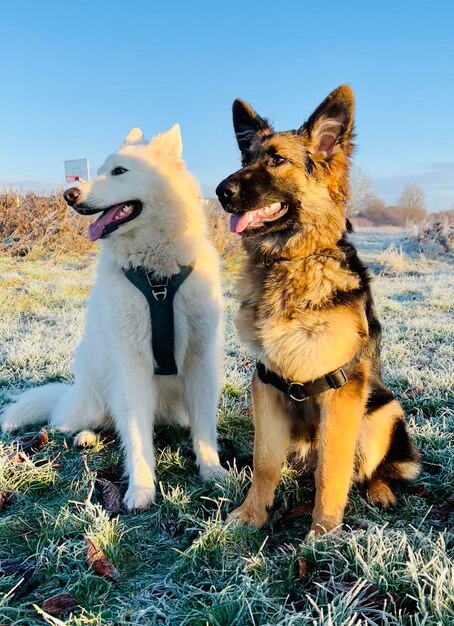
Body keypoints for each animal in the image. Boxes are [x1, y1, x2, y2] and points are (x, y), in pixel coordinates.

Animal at [0, 124, 227, 510]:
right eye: (103, 170)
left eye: (120, 171)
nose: (69, 195)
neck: (157, 278)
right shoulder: (131, 367)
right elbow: (135, 435)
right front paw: (141, 489)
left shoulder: (199, 361)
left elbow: (204, 427)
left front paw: (212, 470)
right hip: (94, 398)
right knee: (79, 420)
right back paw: (85, 436)